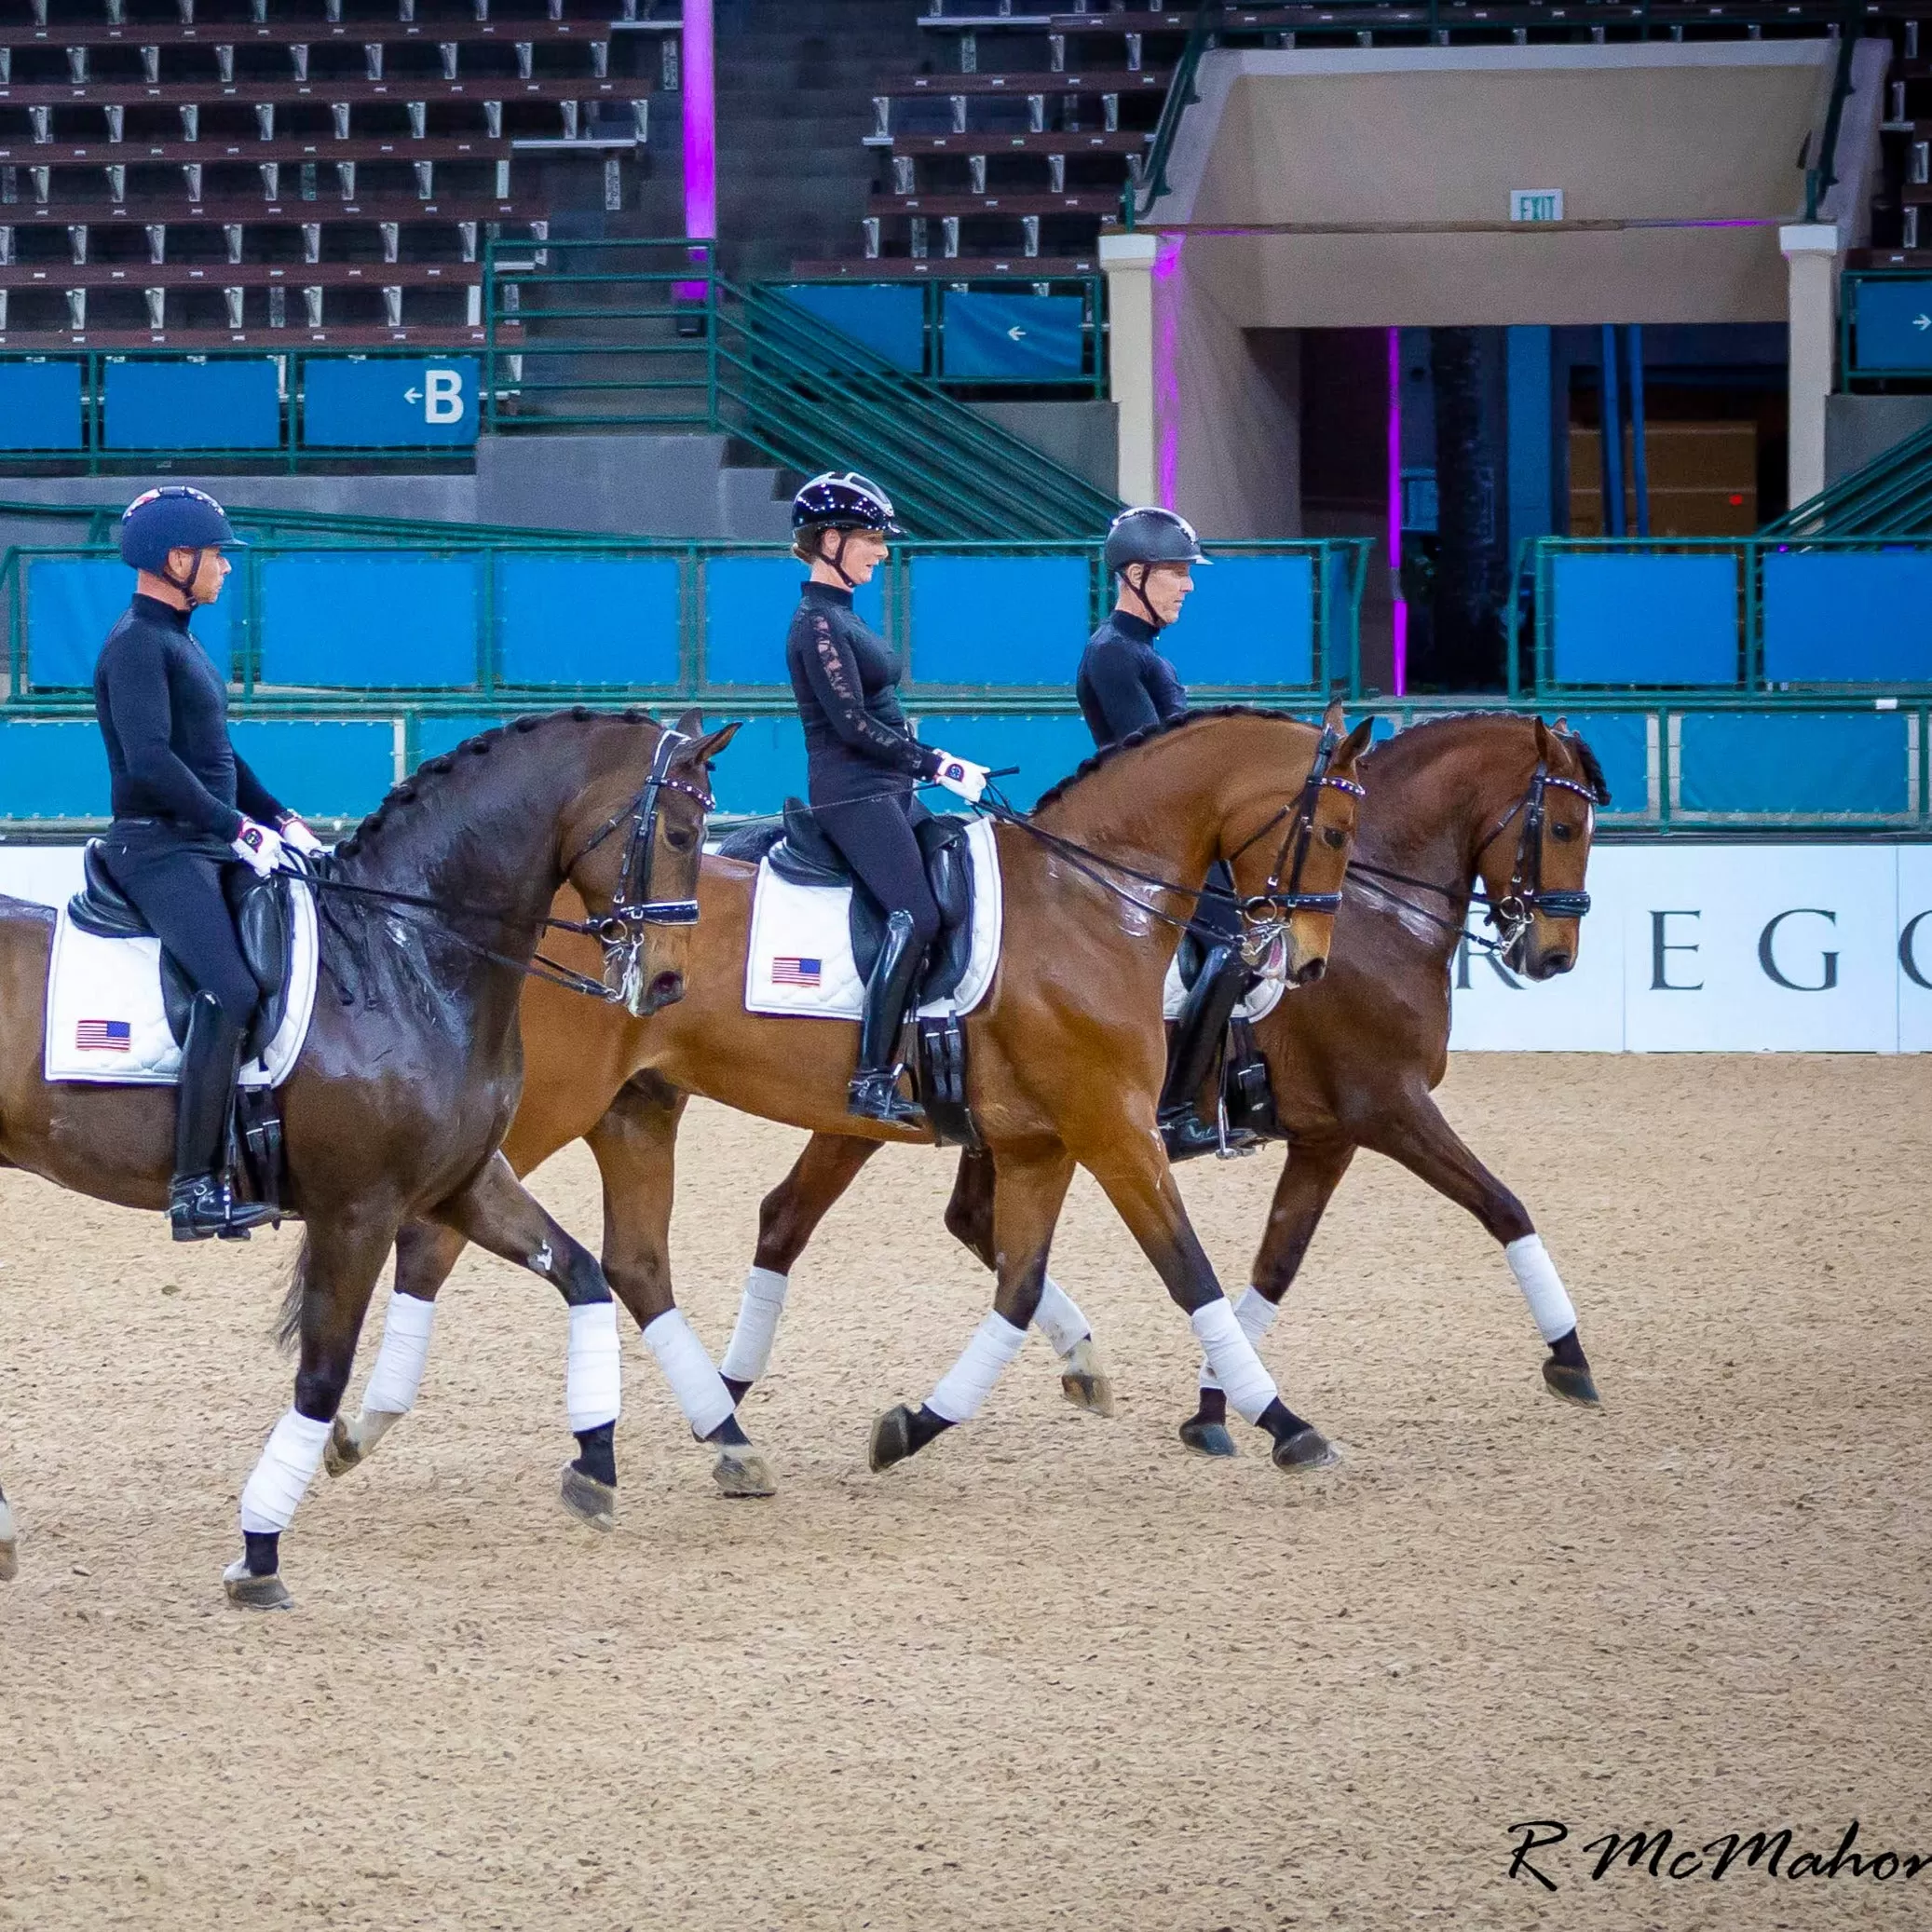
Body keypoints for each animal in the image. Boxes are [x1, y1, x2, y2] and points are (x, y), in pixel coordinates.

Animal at [0, 707, 734, 1599]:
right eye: (679, 831)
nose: (665, 986)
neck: (408, 957)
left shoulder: (463, 1181)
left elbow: (581, 1272)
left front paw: (593, 1465)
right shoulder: (356, 1210)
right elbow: (321, 1374)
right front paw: (260, 1548)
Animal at [328, 702, 1375, 1483]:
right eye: (1329, 830)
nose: (1311, 964)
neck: (1085, 905)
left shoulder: (1041, 1142)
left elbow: (1018, 1285)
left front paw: (917, 1423)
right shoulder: (1112, 1128)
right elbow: (1188, 1269)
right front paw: (1285, 1423)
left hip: (638, 1106)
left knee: (635, 1262)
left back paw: (723, 1435)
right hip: (551, 1106)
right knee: (435, 1238)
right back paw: (367, 1424)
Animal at [702, 711, 1607, 1452]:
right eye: (1564, 825)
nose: (1552, 957)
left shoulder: (1327, 1135)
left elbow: (1275, 1264)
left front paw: (1215, 1406)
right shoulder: (1386, 1108)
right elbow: (1503, 1207)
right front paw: (1570, 1358)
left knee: (919, 1222)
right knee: (805, 1219)